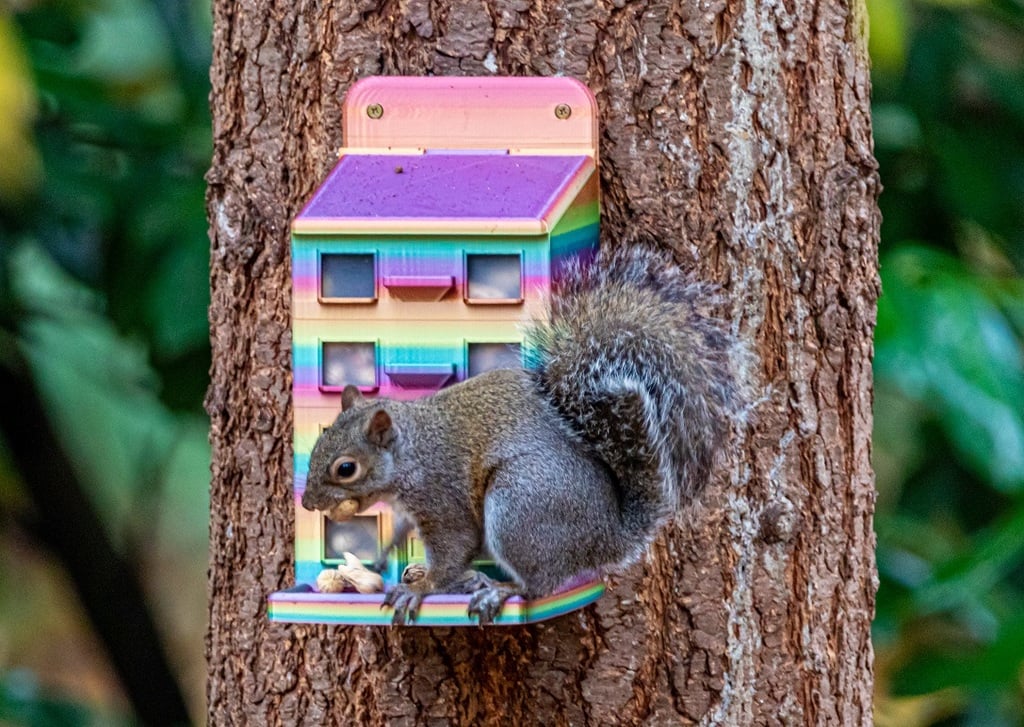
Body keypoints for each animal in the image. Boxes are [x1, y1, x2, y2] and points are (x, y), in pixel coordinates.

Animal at [300, 246, 745, 624]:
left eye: (346, 468)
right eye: (317, 445)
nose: (306, 503)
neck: (410, 452)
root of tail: (608, 537)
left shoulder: (439, 496)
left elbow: (454, 545)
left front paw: (422, 587)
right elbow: (399, 534)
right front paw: (382, 558)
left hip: (520, 502)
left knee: (539, 584)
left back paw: (500, 588)